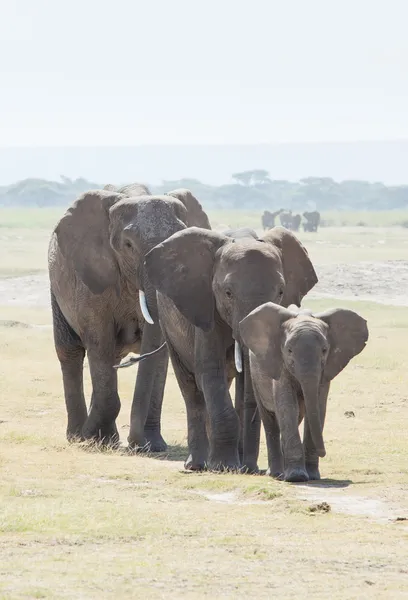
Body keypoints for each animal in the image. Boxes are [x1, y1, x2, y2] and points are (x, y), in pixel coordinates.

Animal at [48, 185, 210, 448]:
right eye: (128, 245)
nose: (136, 441)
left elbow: (159, 353)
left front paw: (152, 446)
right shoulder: (93, 279)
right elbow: (98, 340)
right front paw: (92, 438)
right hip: (56, 286)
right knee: (71, 351)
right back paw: (79, 437)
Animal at [143, 223, 318, 472]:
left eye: (281, 292)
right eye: (228, 293)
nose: (249, 468)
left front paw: (245, 468)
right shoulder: (205, 304)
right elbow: (210, 370)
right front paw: (224, 466)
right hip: (167, 322)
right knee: (191, 389)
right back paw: (197, 464)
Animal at [239, 304, 370, 482]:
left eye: (324, 350)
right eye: (289, 350)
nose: (323, 453)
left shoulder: (325, 370)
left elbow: (318, 407)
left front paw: (313, 476)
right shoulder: (280, 364)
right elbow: (287, 406)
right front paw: (297, 477)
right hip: (255, 375)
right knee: (270, 420)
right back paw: (277, 474)